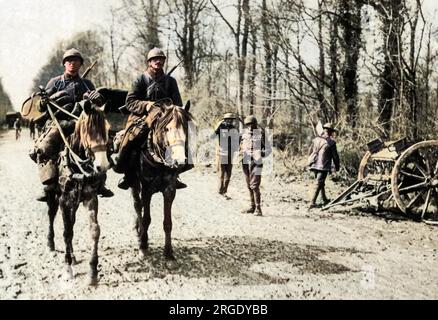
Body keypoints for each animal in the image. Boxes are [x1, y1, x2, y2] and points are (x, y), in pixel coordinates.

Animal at [45, 100, 111, 284]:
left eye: (107, 129)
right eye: (89, 130)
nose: (102, 166)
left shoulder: (90, 198)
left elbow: (94, 230)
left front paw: (93, 271)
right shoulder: (64, 201)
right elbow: (67, 232)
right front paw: (67, 268)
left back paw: (74, 256)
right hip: (53, 198)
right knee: (51, 216)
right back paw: (51, 244)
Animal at [128, 101, 193, 266]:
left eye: (185, 128)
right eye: (166, 128)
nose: (179, 161)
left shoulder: (170, 190)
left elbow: (168, 223)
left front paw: (169, 254)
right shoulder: (146, 189)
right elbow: (146, 219)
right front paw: (143, 247)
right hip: (134, 184)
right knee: (137, 205)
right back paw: (138, 232)